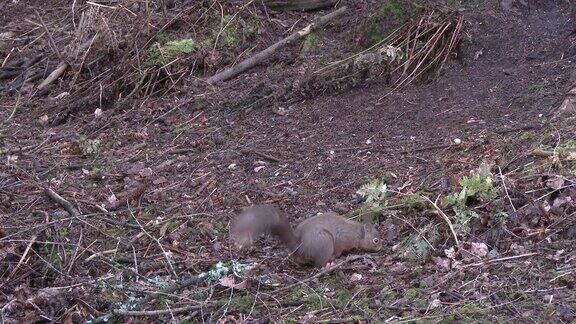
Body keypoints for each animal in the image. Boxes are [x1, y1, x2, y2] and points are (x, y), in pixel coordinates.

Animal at [227, 204, 380, 268]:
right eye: (376, 240)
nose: (381, 247)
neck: (358, 233)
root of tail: (299, 246)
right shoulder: (343, 239)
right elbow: (339, 249)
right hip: (324, 241)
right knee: (319, 264)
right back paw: (331, 262)